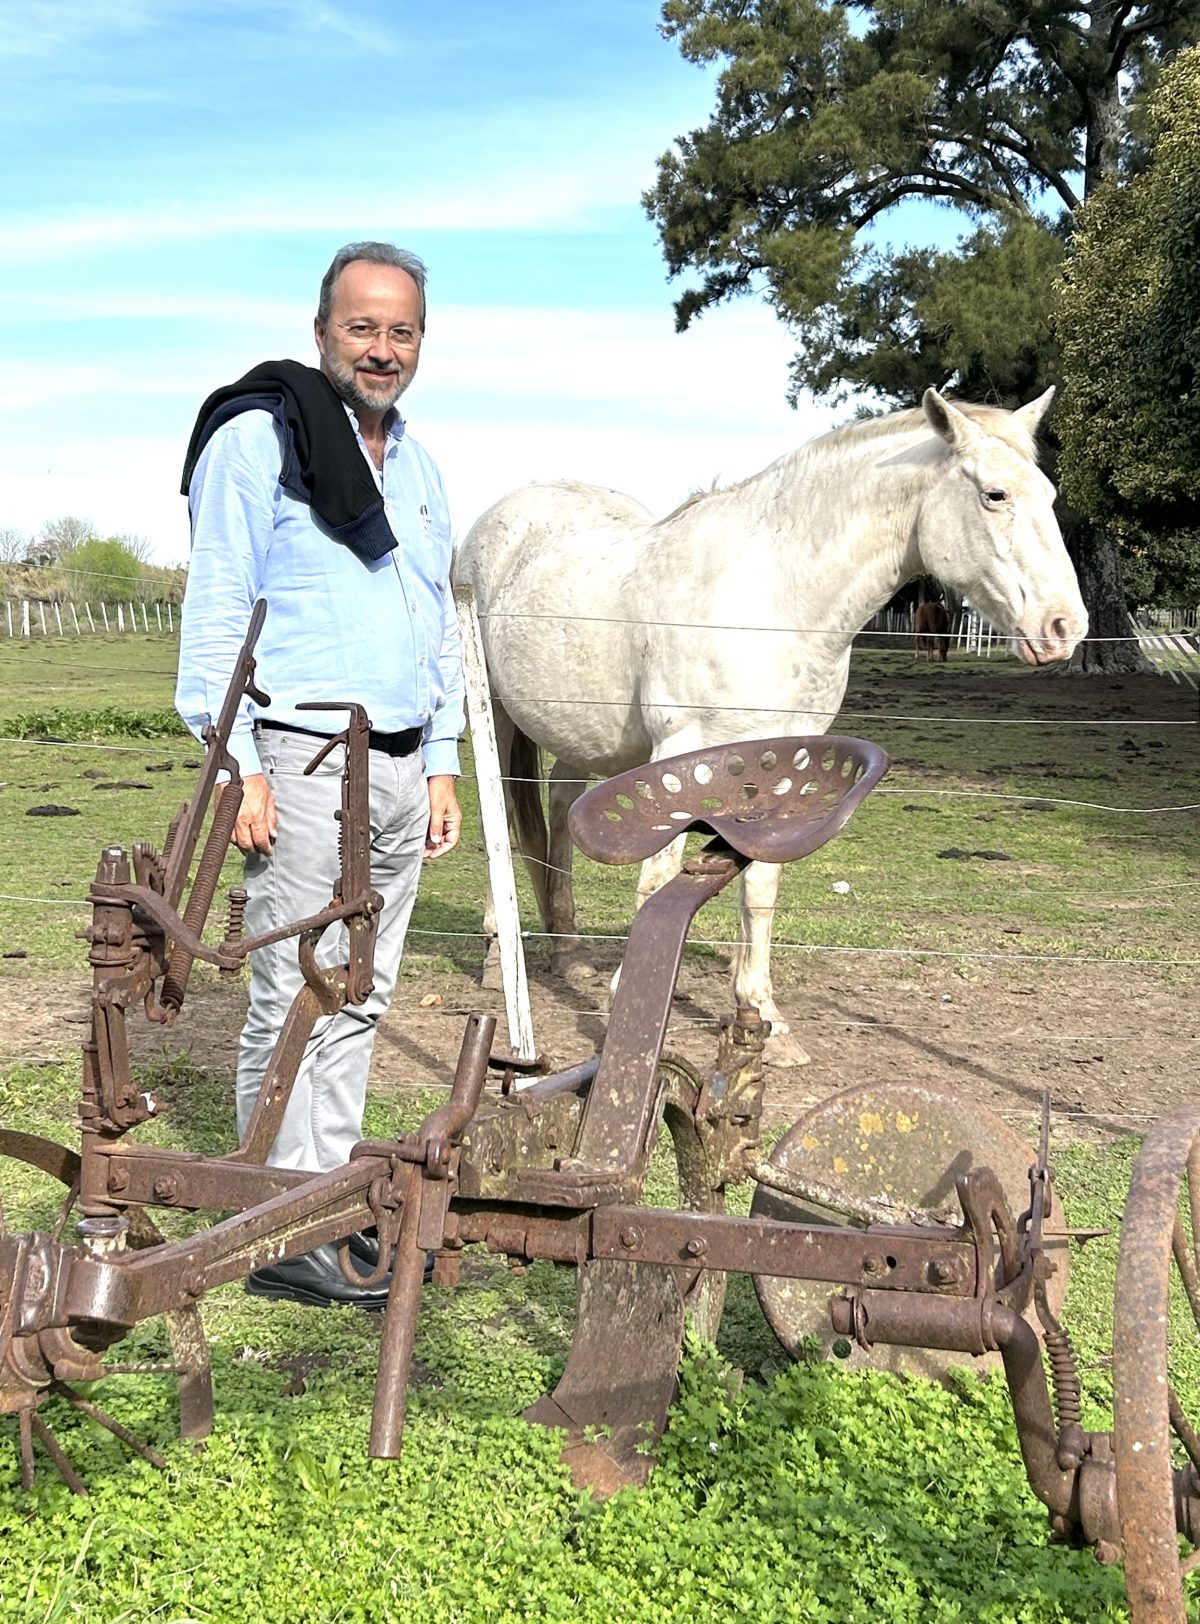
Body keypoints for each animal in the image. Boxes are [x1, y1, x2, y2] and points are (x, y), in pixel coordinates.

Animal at [455, 388, 1087, 1066]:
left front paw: (763, 1015)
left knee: (560, 807)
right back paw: (496, 955)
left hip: (583, 736)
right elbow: (657, 880)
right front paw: (630, 1000)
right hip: (494, 712)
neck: (772, 597)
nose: (1064, 626)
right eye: (995, 494)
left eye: (1049, 494)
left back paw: (569, 953)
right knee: (501, 814)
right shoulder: (680, 756)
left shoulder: (782, 764)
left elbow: (760, 887)